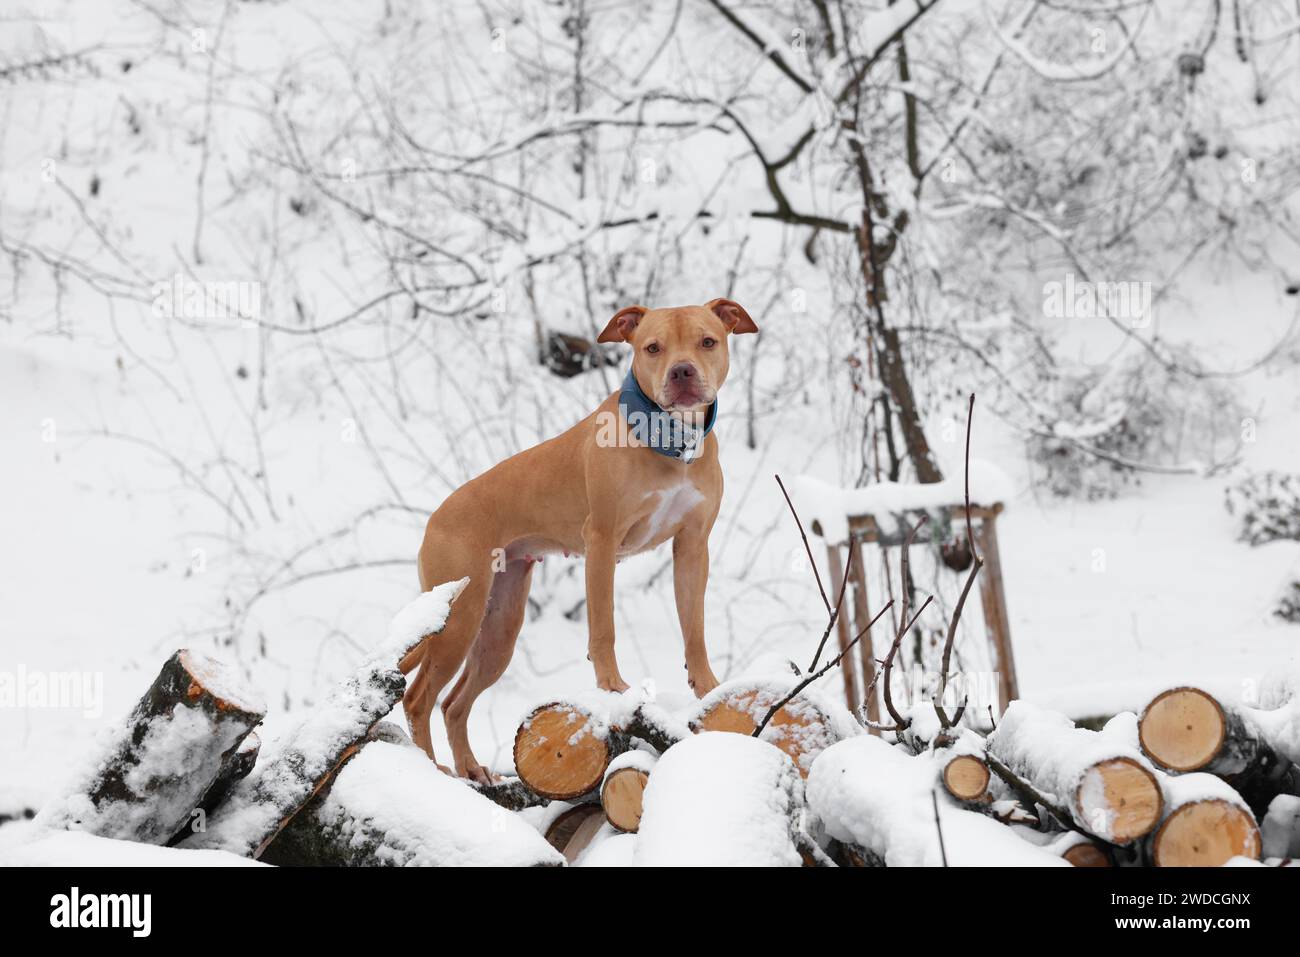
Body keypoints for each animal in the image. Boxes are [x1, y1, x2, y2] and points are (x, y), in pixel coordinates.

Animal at [400, 300, 759, 785]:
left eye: (708, 341)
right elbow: (603, 626)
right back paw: (428, 771)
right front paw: (612, 687)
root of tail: (434, 520)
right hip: (459, 617)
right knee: (418, 697)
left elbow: (694, 628)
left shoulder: (692, 547)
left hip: (498, 629)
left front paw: (708, 688)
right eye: (652, 347)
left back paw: (471, 768)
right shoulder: (602, 542)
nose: (682, 371)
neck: (669, 440)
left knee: (455, 703)